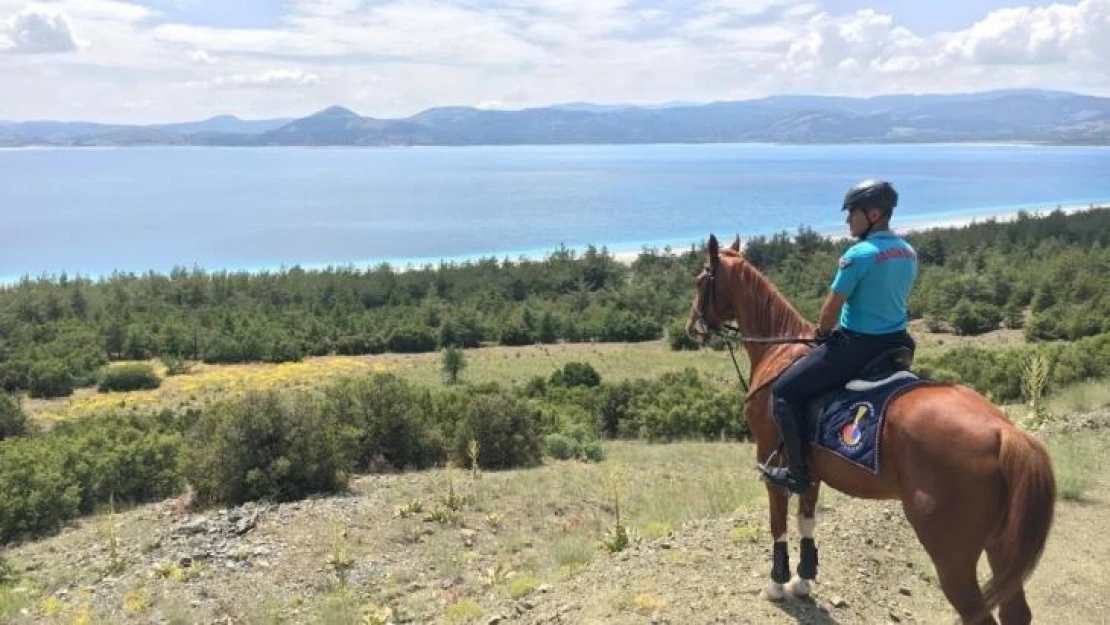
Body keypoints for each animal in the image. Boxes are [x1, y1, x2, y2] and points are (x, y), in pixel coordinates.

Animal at [683, 236, 1056, 625]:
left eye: (701, 280)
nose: (692, 326)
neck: (782, 350)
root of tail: (1004, 432)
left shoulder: (773, 460)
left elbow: (778, 523)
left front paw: (777, 583)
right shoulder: (809, 473)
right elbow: (806, 520)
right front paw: (804, 579)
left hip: (952, 552)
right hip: (1000, 545)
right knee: (1016, 611)